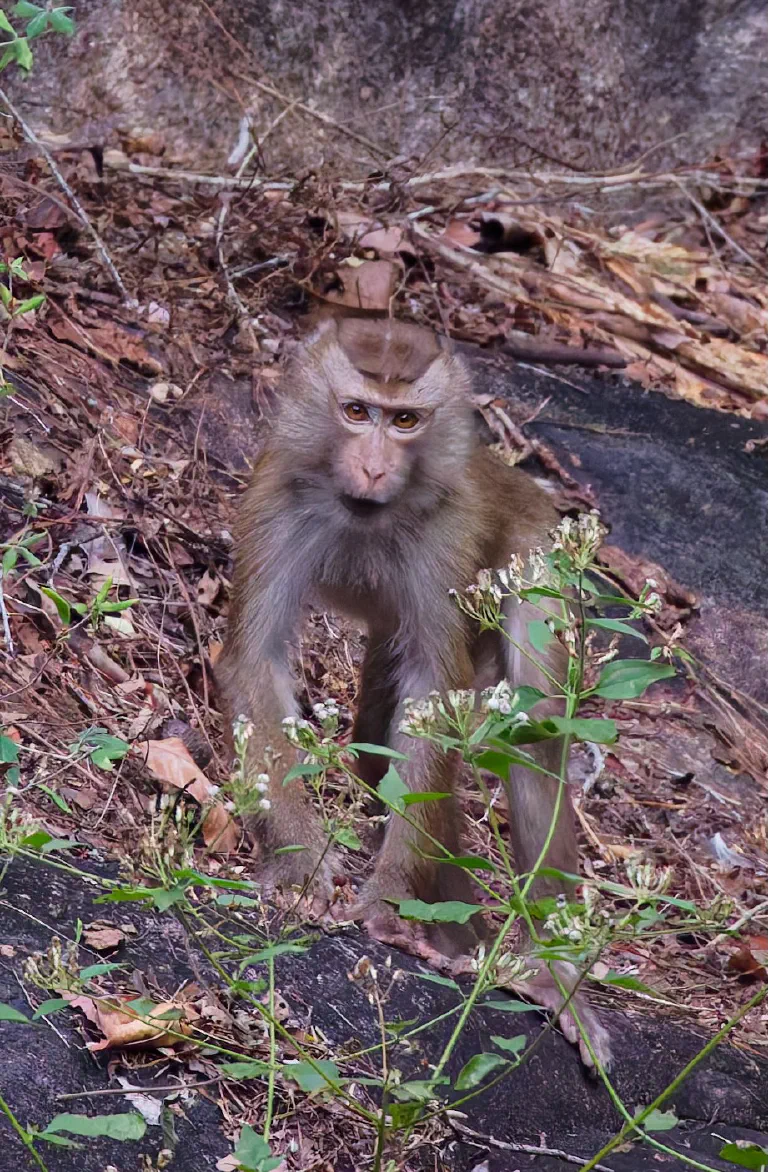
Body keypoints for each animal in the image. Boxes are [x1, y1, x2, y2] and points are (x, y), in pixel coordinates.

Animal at [215, 316, 614, 1068]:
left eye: (405, 420)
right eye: (355, 411)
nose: (374, 467)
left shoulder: (446, 534)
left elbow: (437, 691)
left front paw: (390, 901)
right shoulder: (275, 495)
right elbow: (258, 660)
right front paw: (301, 869)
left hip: (537, 550)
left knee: (537, 728)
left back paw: (543, 970)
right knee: (379, 739)